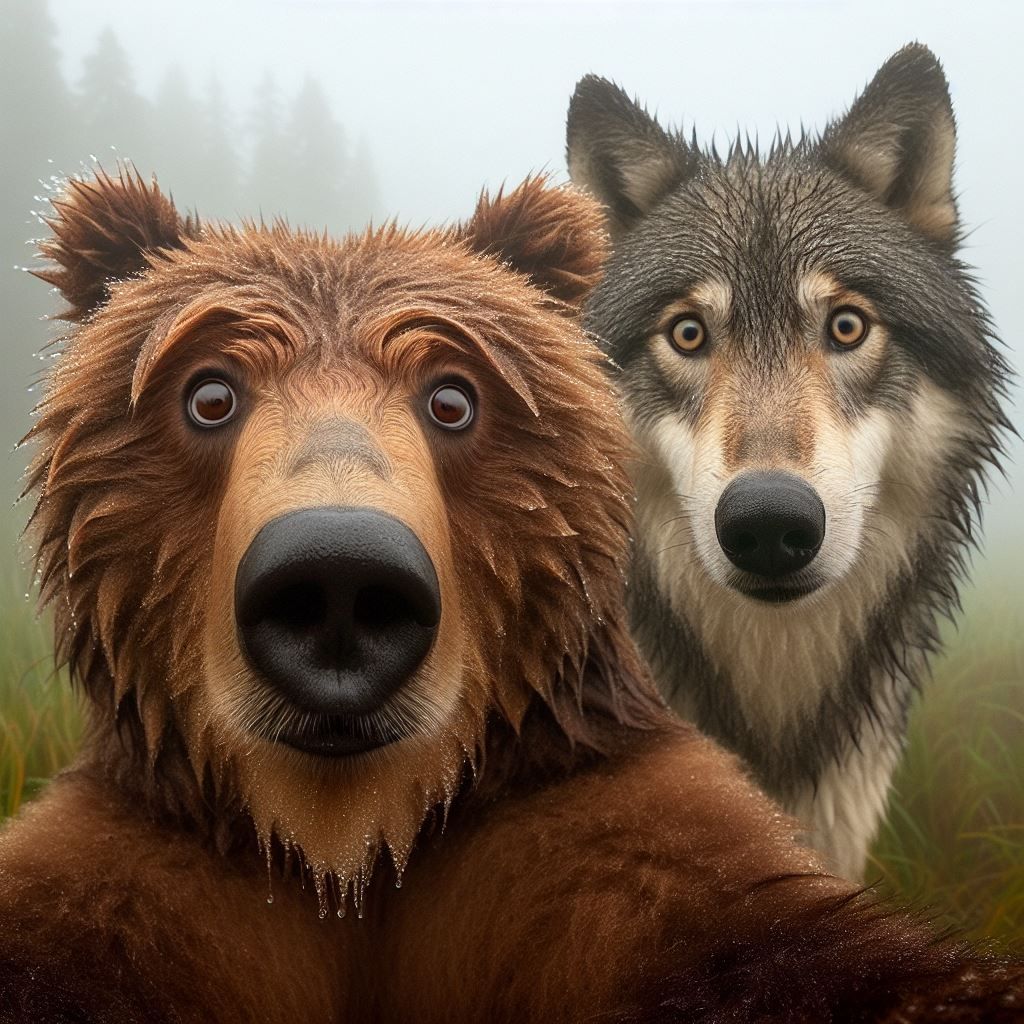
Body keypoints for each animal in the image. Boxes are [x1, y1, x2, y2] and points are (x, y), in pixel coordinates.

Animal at [0, 168, 1021, 1022]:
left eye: (454, 398)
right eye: (208, 393)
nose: (337, 575)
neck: (352, 845)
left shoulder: (602, 841)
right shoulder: (141, 874)